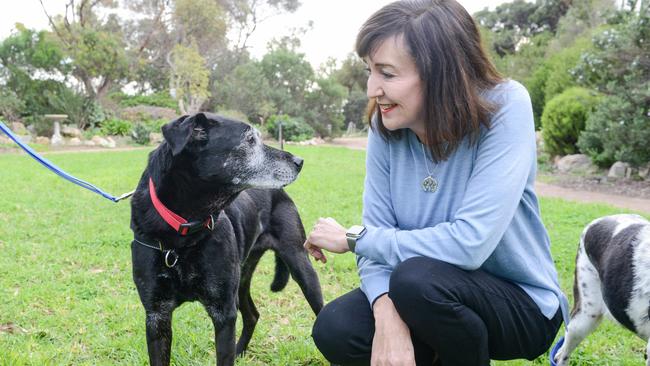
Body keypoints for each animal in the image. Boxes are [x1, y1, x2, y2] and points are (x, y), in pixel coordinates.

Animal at [128, 113, 322, 364]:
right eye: (250, 140)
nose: (300, 161)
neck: (183, 234)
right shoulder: (156, 316)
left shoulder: (224, 314)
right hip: (242, 277)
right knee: (252, 314)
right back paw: (240, 351)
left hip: (300, 264)